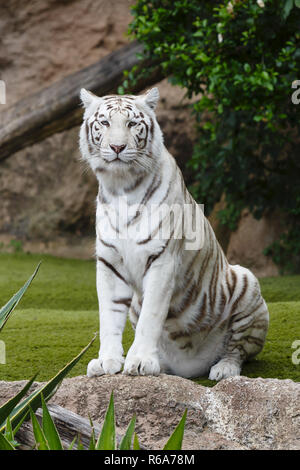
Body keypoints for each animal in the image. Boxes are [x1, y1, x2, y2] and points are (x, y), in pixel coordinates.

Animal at [78, 87, 268, 382]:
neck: (121, 187)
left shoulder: (161, 259)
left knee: (238, 350)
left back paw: (223, 369)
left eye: (131, 124)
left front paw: (140, 361)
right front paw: (107, 361)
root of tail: (189, 369)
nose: (118, 147)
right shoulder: (110, 263)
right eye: (105, 123)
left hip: (246, 282)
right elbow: (108, 315)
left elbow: (151, 317)